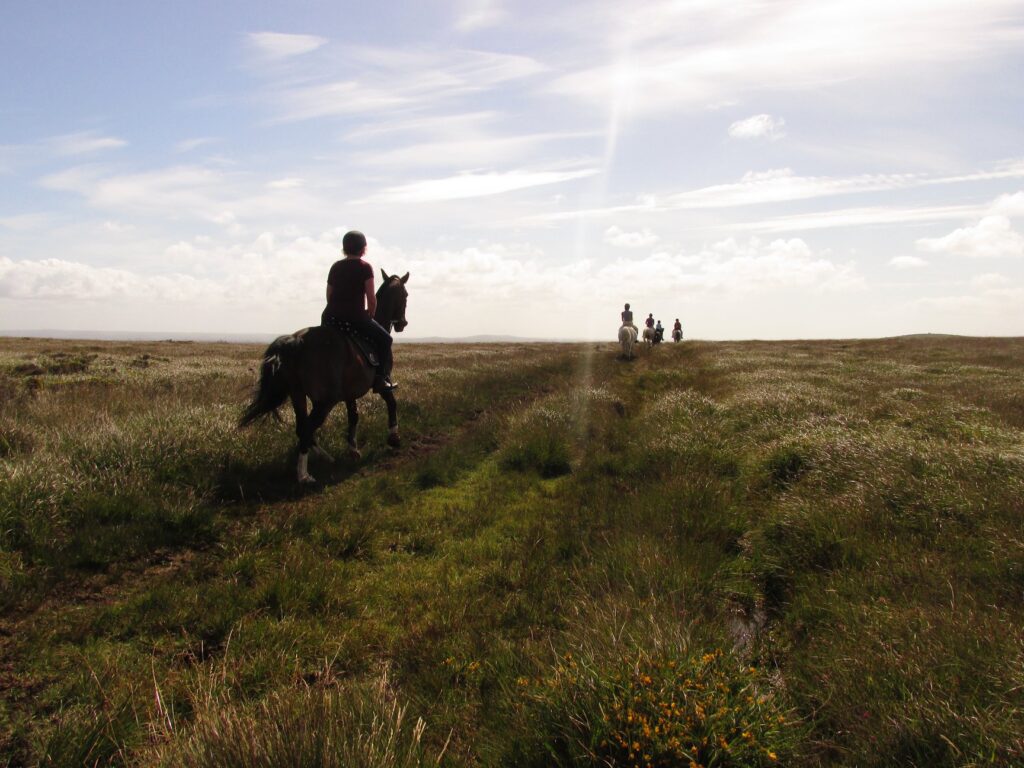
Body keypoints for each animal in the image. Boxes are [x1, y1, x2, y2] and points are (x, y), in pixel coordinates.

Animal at [241, 274, 409, 483]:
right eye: (405, 295)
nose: (402, 323)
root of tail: (297, 341)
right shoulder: (381, 383)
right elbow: (392, 402)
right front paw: (394, 437)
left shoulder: (351, 391)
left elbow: (354, 416)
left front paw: (353, 450)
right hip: (325, 400)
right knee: (306, 429)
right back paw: (304, 475)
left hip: (298, 394)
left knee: (302, 428)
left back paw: (326, 458)